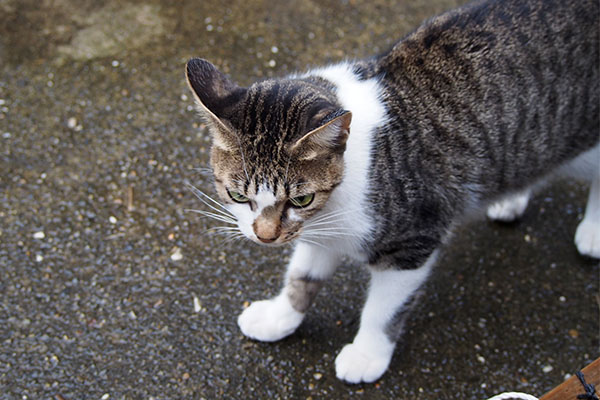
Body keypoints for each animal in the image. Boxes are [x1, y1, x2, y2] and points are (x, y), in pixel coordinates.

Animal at [185, 0, 596, 384]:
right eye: (238, 195)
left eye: (301, 198)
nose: (266, 237)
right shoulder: (321, 231)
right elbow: (302, 275)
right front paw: (280, 315)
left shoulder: (413, 240)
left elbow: (382, 309)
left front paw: (367, 354)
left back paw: (592, 231)